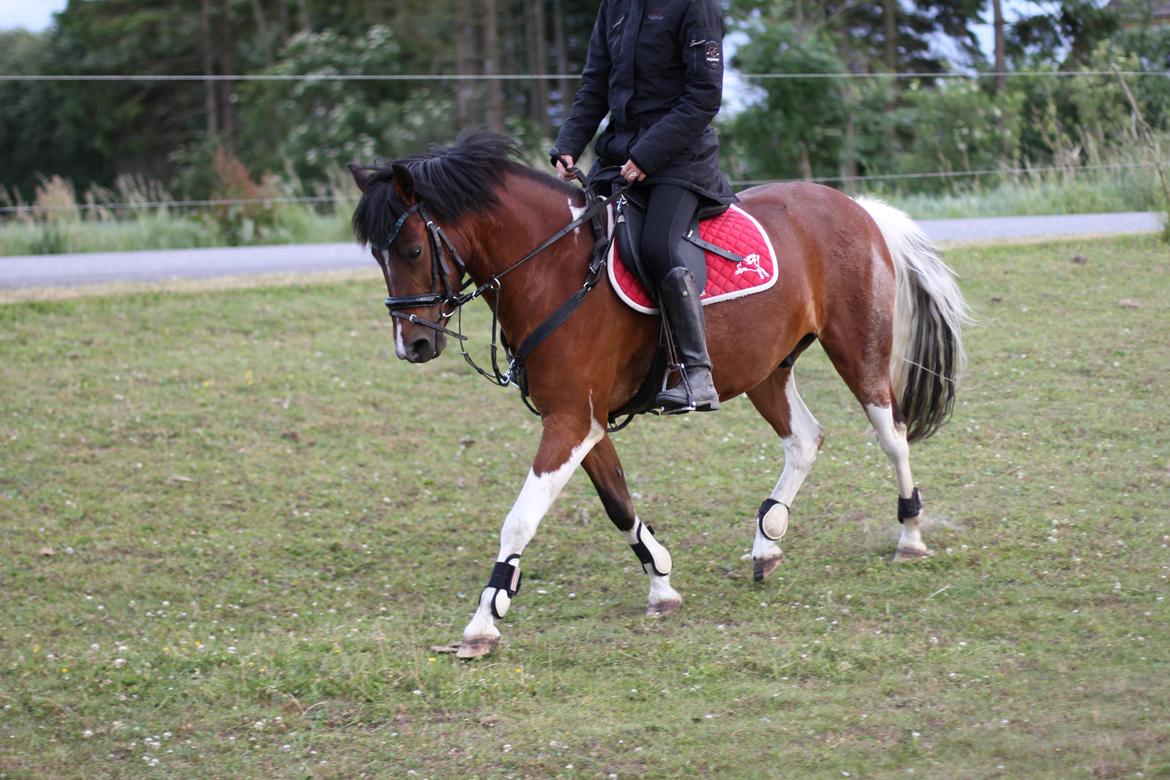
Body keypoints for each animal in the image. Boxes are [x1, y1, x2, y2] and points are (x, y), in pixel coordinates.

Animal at [346, 134, 968, 659]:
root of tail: (855, 207)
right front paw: (662, 582)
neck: (554, 266)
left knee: (892, 436)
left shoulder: (570, 421)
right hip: (766, 369)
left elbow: (519, 520)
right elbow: (619, 505)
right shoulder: (582, 419)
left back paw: (909, 536)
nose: (413, 345)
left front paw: (483, 622)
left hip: (858, 351)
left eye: (410, 250)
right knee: (806, 439)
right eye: (376, 254)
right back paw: (767, 542)